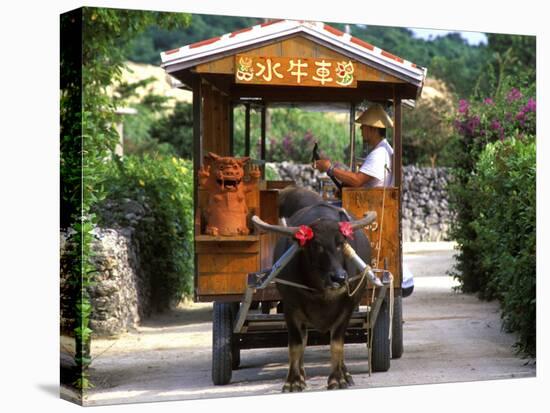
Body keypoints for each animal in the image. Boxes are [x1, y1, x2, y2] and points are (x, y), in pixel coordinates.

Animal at [253, 187, 376, 390]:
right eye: (316, 246)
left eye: (340, 243)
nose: (339, 278)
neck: (322, 293)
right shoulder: (290, 307)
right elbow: (296, 345)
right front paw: (293, 381)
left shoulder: (348, 307)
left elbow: (337, 343)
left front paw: (338, 379)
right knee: (303, 340)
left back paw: (346, 374)